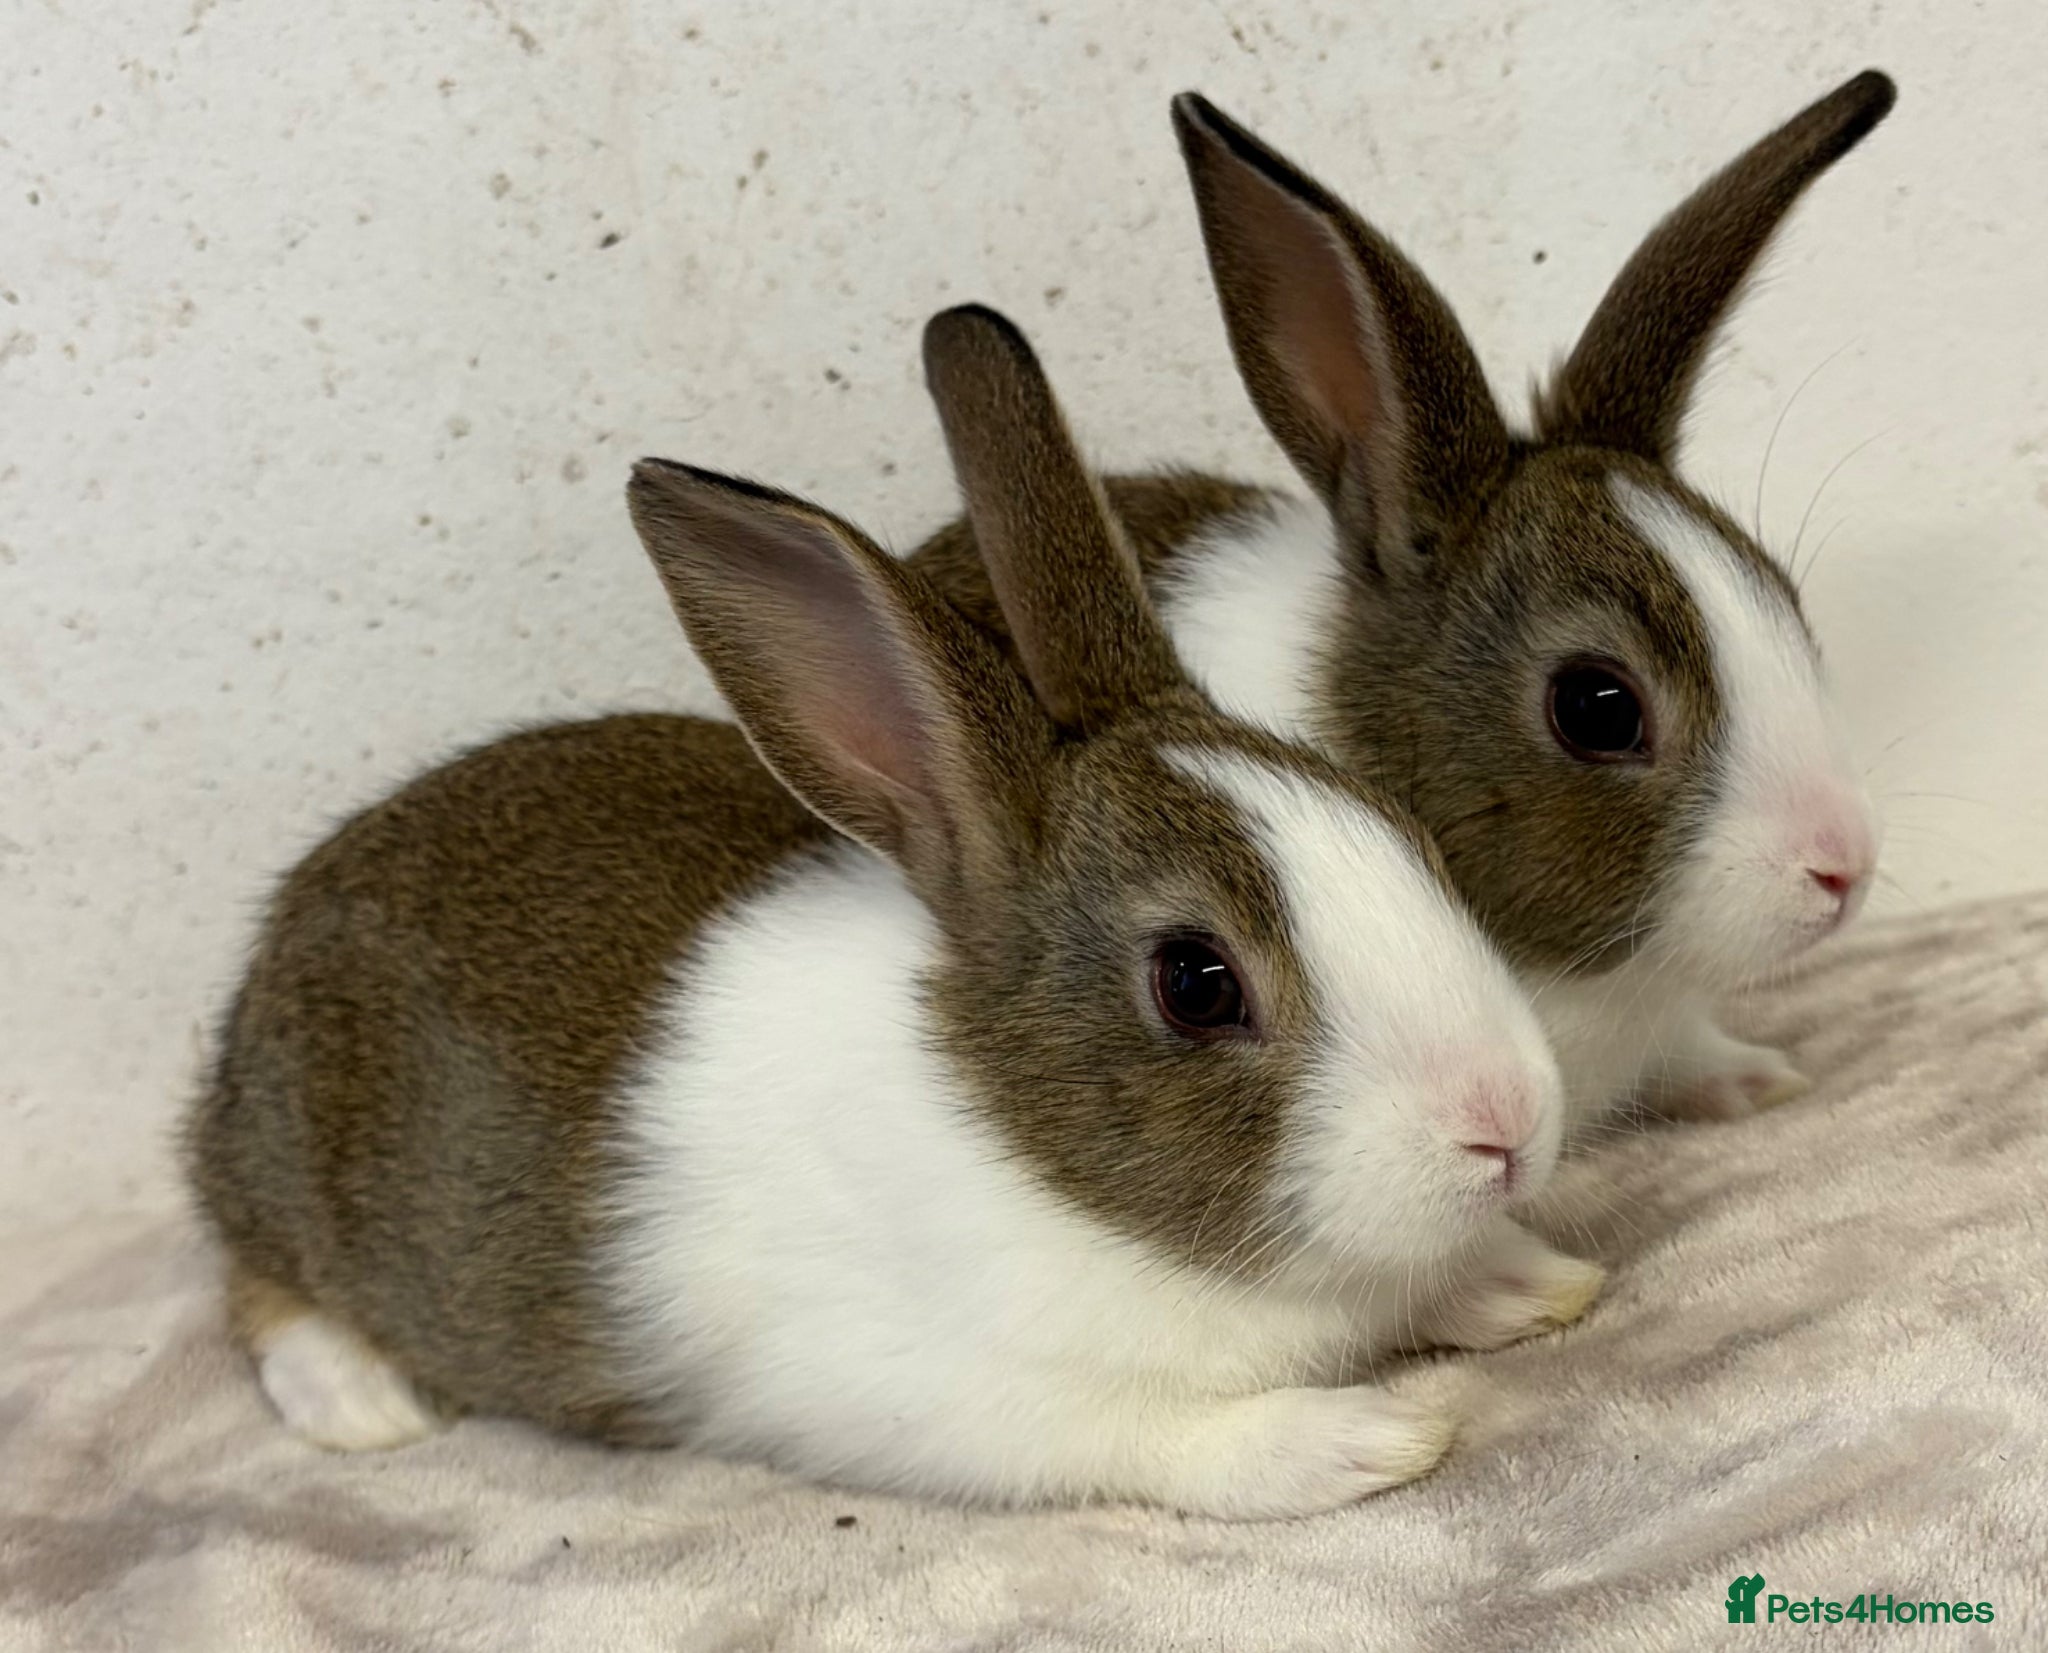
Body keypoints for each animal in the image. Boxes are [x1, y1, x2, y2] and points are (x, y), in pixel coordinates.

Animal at [185, 304, 1604, 1520]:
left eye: (1400, 833)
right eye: (1197, 983)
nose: (1511, 1127)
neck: (1021, 1142)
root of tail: (287, 929)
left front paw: (1530, 1281)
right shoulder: (933, 1399)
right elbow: (1164, 1441)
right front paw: (1366, 1436)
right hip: (292, 1181)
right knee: (253, 1278)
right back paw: (360, 1404)